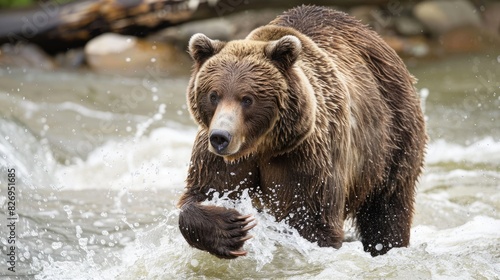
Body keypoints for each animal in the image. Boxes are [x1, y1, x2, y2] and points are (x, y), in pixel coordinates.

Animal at [176, 4, 426, 258]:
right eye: (213, 95)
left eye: (247, 99)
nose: (221, 137)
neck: (264, 145)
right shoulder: (221, 161)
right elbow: (200, 193)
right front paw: (230, 226)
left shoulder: (306, 159)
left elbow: (313, 221)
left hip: (392, 141)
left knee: (387, 211)